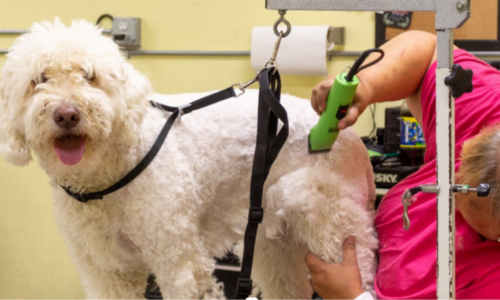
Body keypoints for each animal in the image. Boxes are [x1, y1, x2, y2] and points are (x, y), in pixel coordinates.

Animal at [0, 19, 376, 298]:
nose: (67, 115)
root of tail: (348, 133)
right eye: (39, 79)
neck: (107, 177)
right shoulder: (108, 270)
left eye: (88, 75)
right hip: (274, 244)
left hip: (334, 224)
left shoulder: (179, 263)